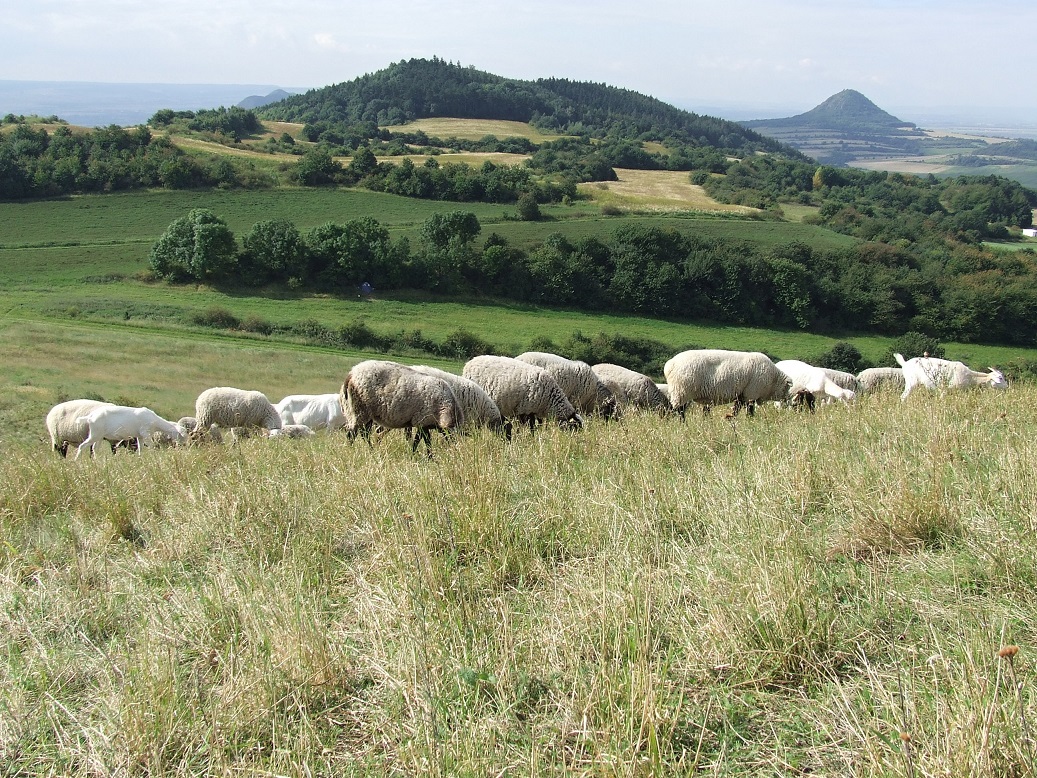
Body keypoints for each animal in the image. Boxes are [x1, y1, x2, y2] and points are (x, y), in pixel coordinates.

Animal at [663, 348, 792, 421]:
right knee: (679, 410)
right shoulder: (751, 393)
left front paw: (730, 418)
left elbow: (737, 408)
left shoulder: (742, 394)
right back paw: (683, 423)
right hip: (682, 390)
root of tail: (669, 365)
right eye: (787, 389)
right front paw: (750, 421)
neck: (773, 380)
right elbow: (749, 410)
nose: (788, 403)